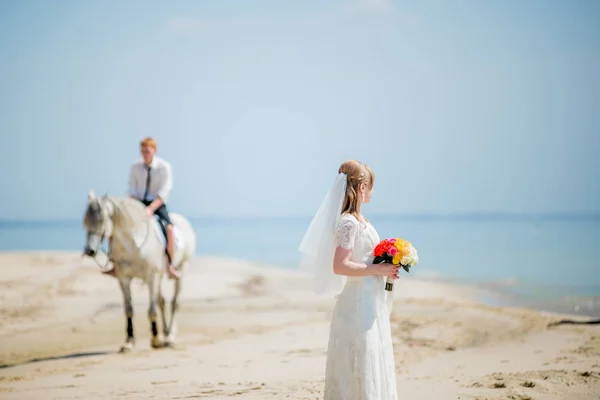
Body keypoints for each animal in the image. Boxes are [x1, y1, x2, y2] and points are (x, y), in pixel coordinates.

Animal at [81, 192, 195, 352]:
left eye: (101, 220)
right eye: (85, 221)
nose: (89, 251)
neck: (133, 245)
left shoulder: (151, 277)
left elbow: (151, 310)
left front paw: (155, 339)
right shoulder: (124, 279)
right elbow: (129, 309)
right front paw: (129, 341)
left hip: (181, 269)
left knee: (174, 302)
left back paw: (170, 336)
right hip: (160, 276)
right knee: (162, 302)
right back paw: (166, 332)